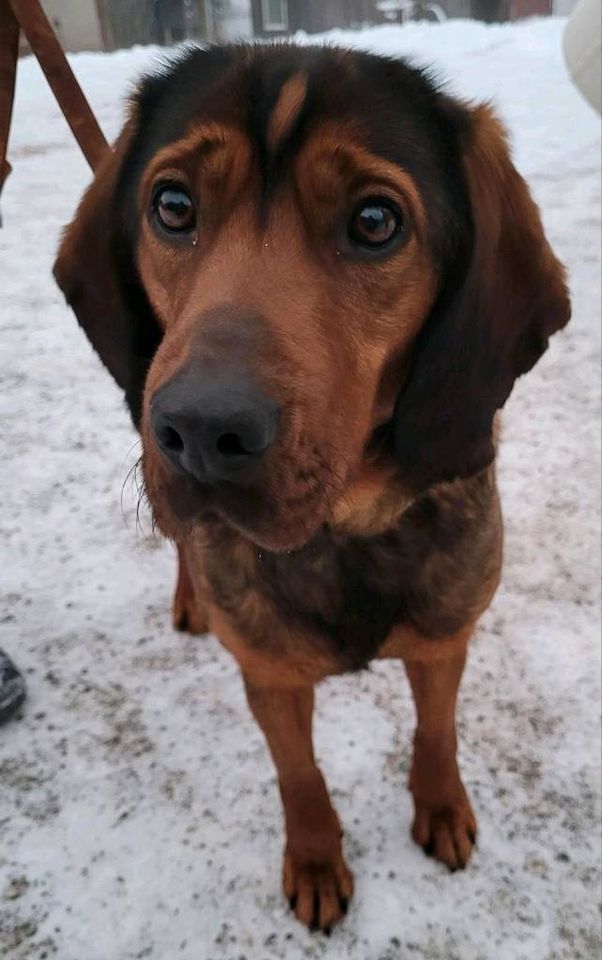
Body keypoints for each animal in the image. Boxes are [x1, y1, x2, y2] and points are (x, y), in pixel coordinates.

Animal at [51, 43, 568, 928]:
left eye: (375, 221)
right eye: (173, 205)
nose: (200, 432)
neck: (343, 529)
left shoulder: (445, 641)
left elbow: (437, 734)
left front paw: (441, 808)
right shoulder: (271, 676)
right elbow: (299, 778)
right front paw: (318, 860)